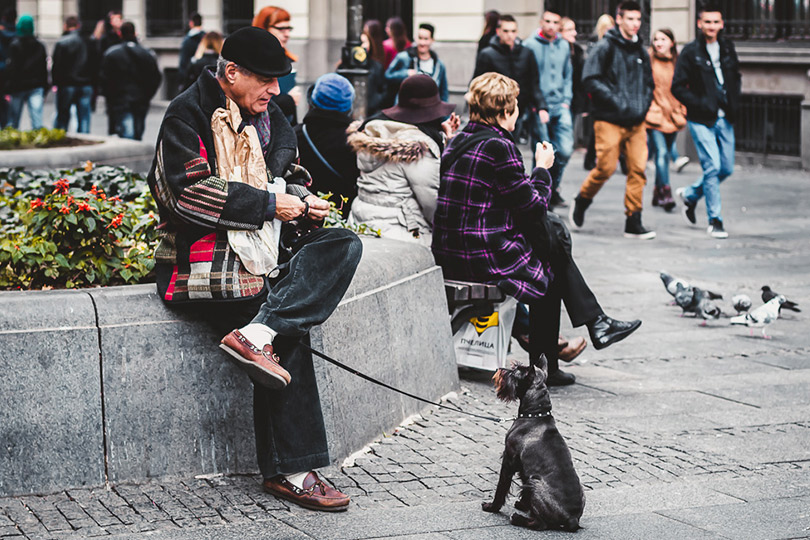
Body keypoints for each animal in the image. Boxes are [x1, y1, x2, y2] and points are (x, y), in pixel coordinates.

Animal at [482, 358, 584, 532]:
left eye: (514, 372)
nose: (498, 369)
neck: (535, 414)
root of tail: (572, 519)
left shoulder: (508, 460)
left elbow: (502, 487)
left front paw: (492, 507)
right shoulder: (524, 469)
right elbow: (523, 487)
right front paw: (524, 505)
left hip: (535, 483)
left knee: (540, 524)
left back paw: (518, 519)